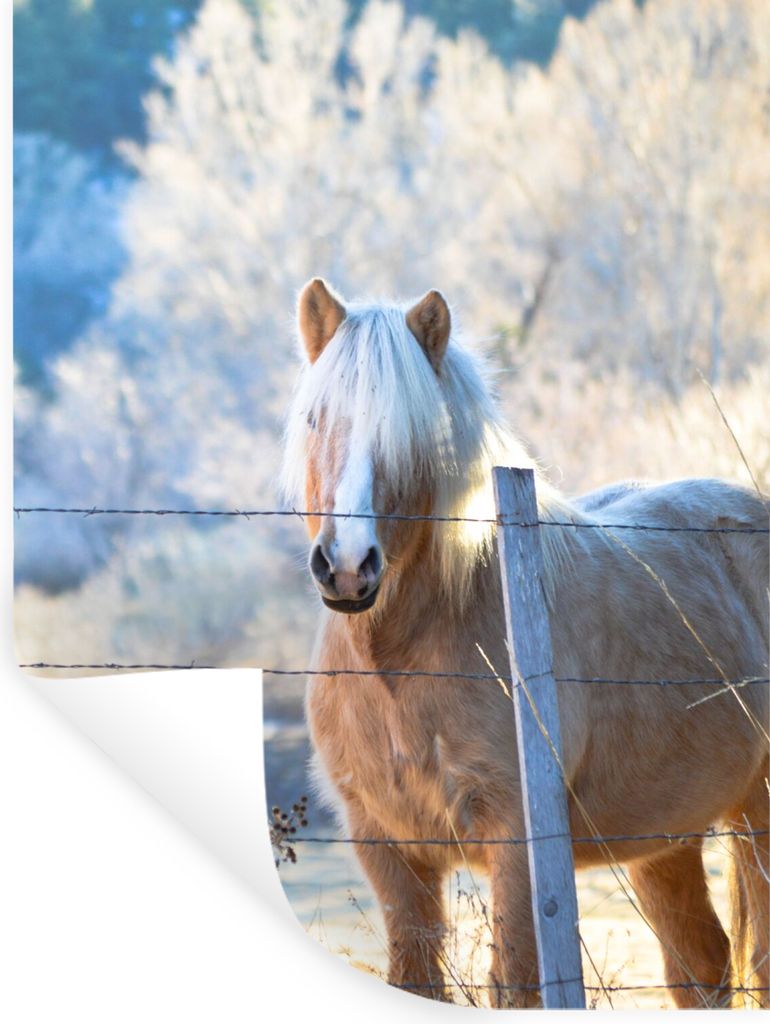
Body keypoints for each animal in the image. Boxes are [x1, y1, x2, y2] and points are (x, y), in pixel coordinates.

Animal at [282, 277, 770, 1008]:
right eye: (316, 419)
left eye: (414, 434)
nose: (346, 566)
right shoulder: (387, 849)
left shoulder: (516, 844)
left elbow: (517, 986)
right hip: (668, 837)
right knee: (700, 968)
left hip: (757, 815)